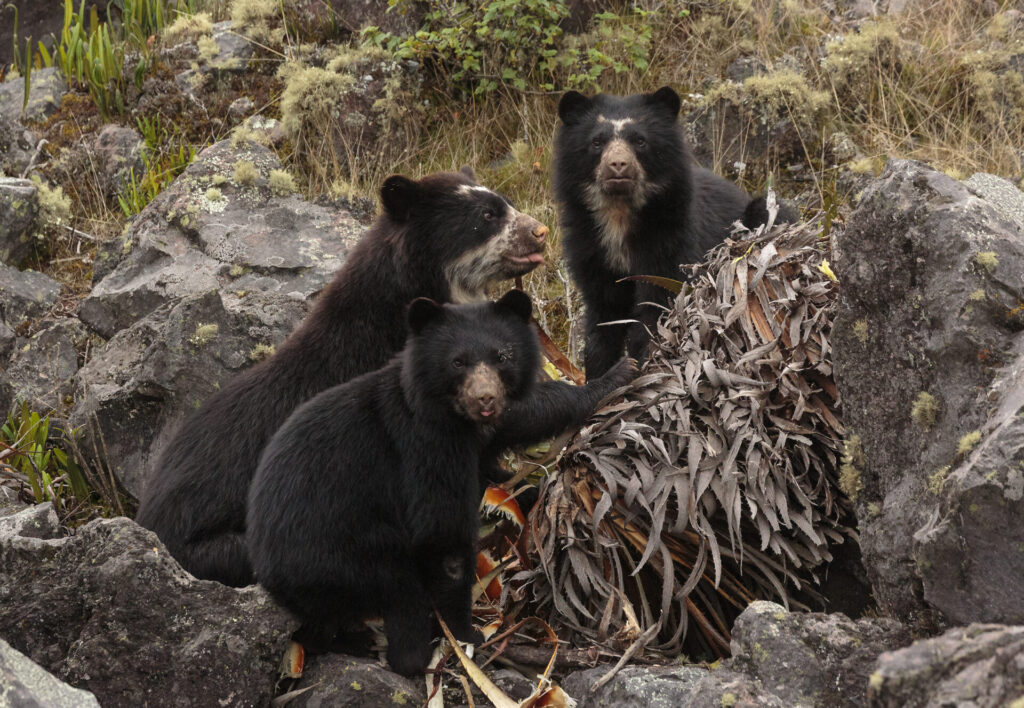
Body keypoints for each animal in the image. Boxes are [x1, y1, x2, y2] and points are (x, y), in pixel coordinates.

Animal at [247, 291, 633, 676]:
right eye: (458, 362)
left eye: (502, 356)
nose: (485, 399)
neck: (453, 415)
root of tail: (264, 564)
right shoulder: (428, 450)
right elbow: (443, 535)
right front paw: (467, 635)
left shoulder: (478, 441)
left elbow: (515, 431)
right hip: (345, 553)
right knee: (400, 589)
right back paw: (409, 655)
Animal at [553, 86, 793, 379]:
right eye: (597, 142)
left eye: (640, 141)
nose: (618, 165)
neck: (619, 215)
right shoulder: (590, 249)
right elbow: (603, 316)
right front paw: (602, 375)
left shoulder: (670, 242)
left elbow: (656, 308)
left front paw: (642, 365)